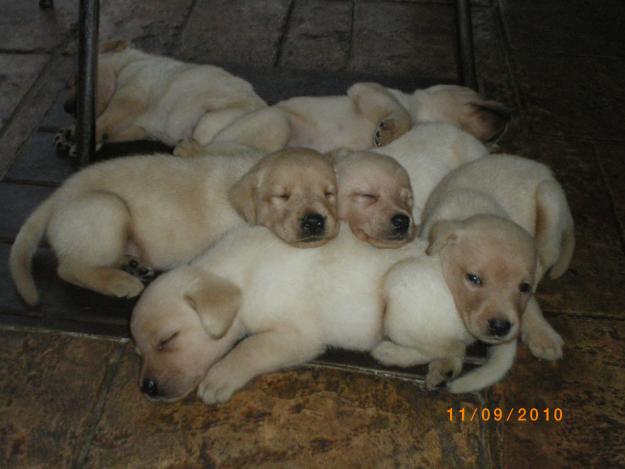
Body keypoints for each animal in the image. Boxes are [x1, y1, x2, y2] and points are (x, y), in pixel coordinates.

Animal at [9, 148, 336, 306]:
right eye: (283, 196)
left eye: (329, 193)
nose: (314, 221)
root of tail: (56, 197)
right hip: (106, 208)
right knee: (70, 267)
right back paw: (120, 282)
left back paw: (132, 264)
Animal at [56, 39, 288, 156]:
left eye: (78, 78)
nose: (65, 108)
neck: (127, 64)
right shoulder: (134, 126)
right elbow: (109, 127)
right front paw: (73, 133)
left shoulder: (129, 97)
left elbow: (103, 120)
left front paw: (81, 139)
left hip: (213, 122)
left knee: (213, 150)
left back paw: (185, 149)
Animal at [272, 82, 508, 152]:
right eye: (479, 94)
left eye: (492, 141)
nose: (510, 114)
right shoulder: (368, 90)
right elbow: (404, 115)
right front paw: (384, 133)